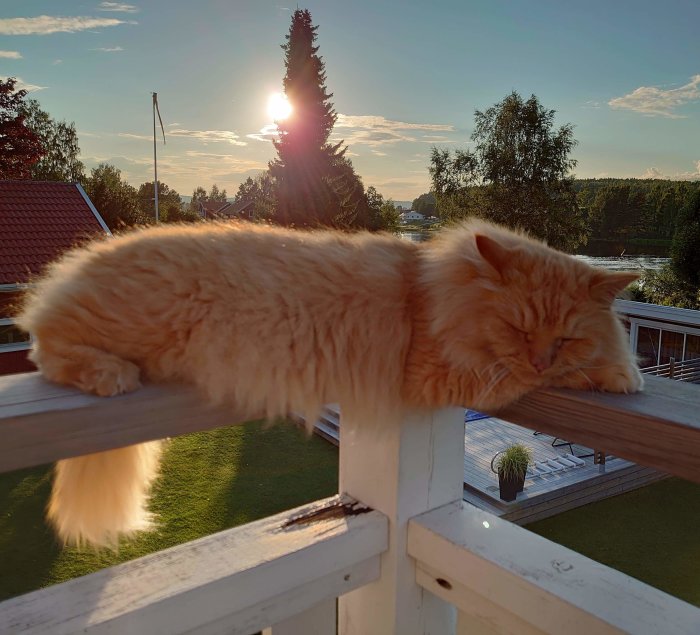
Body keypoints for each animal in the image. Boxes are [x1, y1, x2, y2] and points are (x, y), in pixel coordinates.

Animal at [17, 219, 640, 548]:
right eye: (519, 329)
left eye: (564, 337)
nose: (539, 359)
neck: (429, 291)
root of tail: (88, 256)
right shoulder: (445, 371)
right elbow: (525, 381)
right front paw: (622, 374)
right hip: (120, 323)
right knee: (44, 342)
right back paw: (109, 375)